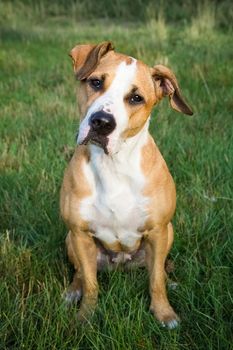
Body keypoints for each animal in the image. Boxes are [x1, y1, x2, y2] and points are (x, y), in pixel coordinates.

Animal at [60, 41, 193, 328]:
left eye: (136, 98)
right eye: (96, 82)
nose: (101, 122)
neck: (114, 165)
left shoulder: (158, 231)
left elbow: (155, 281)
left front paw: (165, 314)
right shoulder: (80, 233)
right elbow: (90, 283)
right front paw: (85, 316)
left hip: (169, 233)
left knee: (159, 270)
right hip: (70, 239)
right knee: (79, 272)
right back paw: (72, 291)